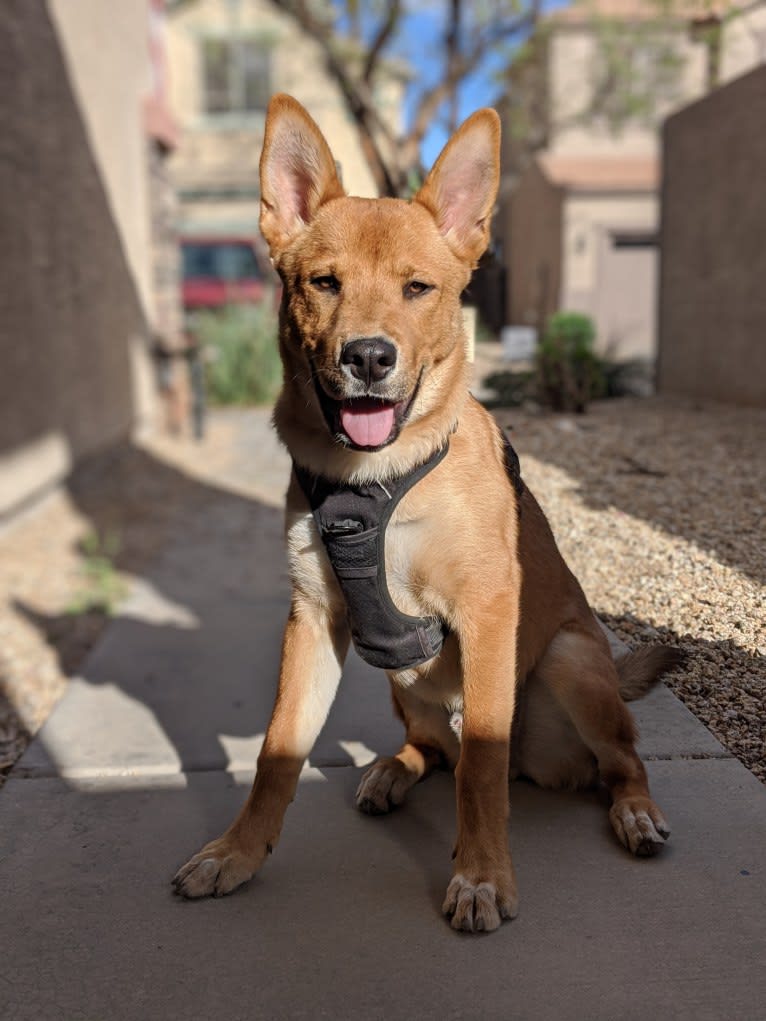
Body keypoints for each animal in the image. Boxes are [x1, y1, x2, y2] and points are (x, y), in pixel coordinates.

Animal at [172, 95, 678, 935]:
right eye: (324, 282)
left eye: (418, 288)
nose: (369, 358)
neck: (372, 479)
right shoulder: (313, 619)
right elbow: (277, 753)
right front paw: (236, 853)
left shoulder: (485, 612)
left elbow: (481, 770)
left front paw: (482, 875)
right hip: (400, 680)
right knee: (433, 747)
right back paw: (392, 770)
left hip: (572, 663)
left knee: (615, 758)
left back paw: (634, 810)